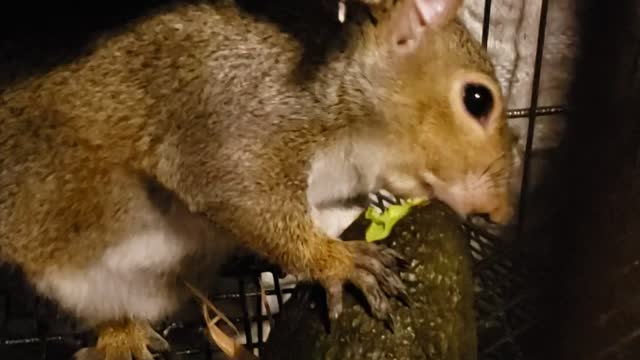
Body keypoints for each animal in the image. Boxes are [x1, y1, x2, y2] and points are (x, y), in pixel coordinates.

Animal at [0, 0, 516, 358]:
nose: (502, 212)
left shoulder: (334, 193)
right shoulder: (242, 115)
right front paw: (335, 261)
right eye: (477, 99)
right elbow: (239, 193)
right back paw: (119, 339)